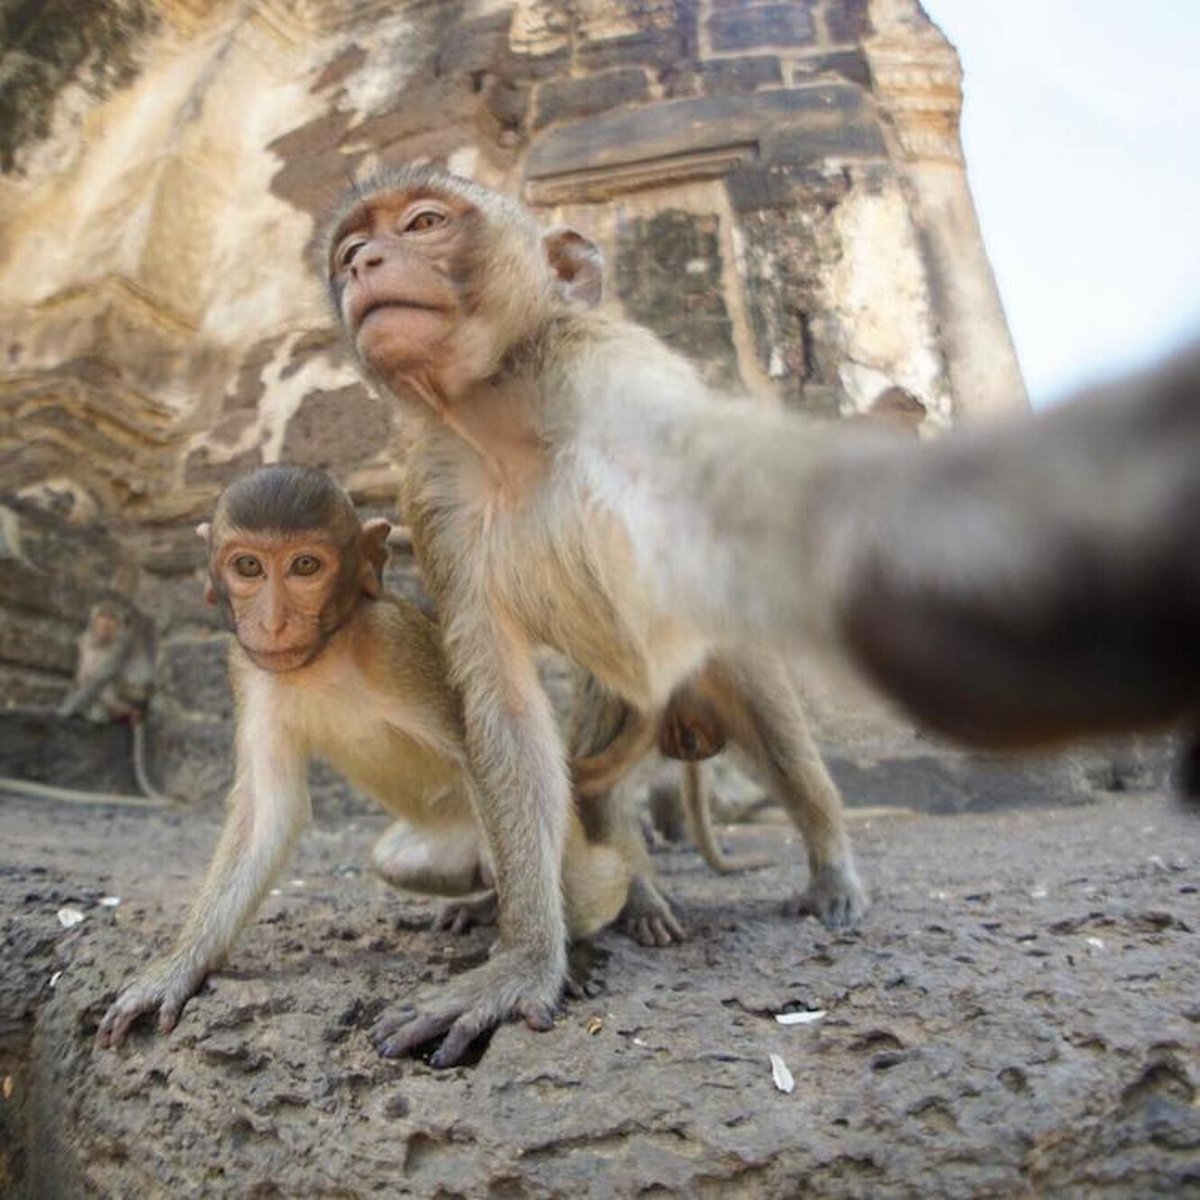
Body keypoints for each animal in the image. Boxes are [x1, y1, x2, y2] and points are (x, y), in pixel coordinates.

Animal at [93, 468, 628, 1051]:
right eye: (248, 566)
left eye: (305, 566)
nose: (273, 623)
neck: (326, 653)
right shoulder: (247, 667)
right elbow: (269, 810)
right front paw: (179, 967)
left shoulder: (396, 644)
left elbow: (492, 749)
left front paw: (530, 961)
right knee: (397, 861)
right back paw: (483, 904)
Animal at [321, 164, 864, 1065]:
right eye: (348, 249)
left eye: (425, 222)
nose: (364, 261)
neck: (506, 414)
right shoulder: (431, 492)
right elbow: (504, 709)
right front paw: (526, 957)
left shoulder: (620, 374)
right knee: (596, 754)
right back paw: (618, 893)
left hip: (721, 659)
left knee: (775, 733)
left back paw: (826, 862)